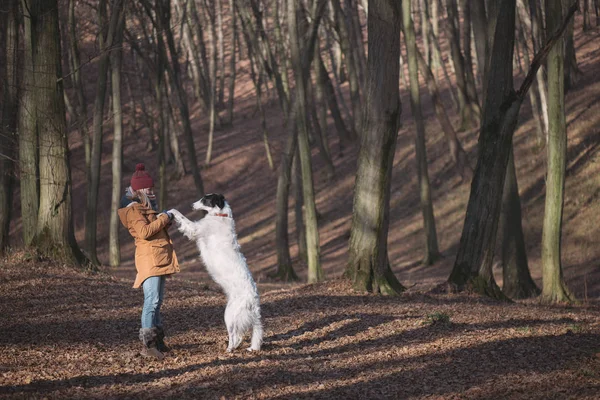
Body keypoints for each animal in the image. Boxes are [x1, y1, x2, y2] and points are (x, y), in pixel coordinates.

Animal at [169, 194, 262, 350]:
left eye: (205, 199)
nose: (191, 205)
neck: (220, 215)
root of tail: (253, 301)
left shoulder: (195, 228)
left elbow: (179, 215)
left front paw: (168, 210)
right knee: (239, 336)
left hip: (229, 316)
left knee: (235, 336)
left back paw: (229, 349)